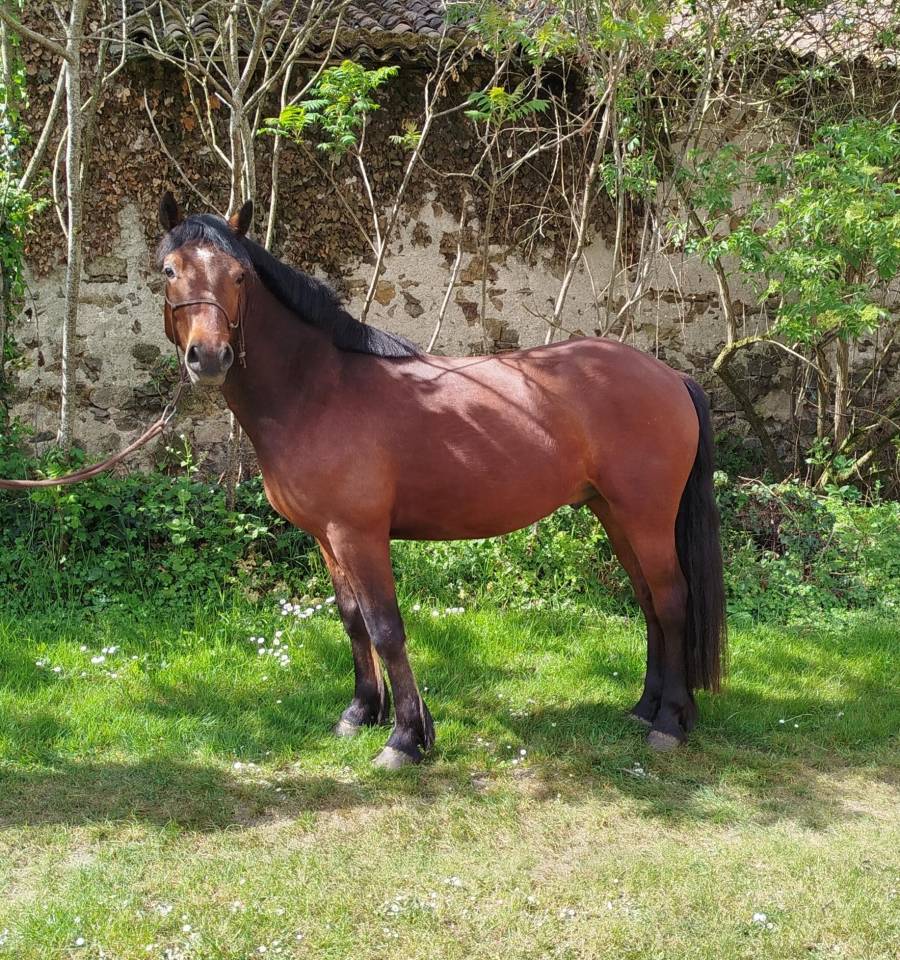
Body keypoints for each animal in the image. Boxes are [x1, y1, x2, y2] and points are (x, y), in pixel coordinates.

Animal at [156, 192, 726, 767]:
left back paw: (668, 723)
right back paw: (646, 708)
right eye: (169, 271)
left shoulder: (359, 535)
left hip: (645, 515)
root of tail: (670, 376)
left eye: (239, 276)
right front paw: (360, 713)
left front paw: (406, 737)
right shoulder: (327, 538)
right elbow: (352, 620)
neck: (316, 389)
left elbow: (386, 629)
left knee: (671, 600)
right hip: (612, 511)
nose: (209, 357)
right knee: (647, 600)